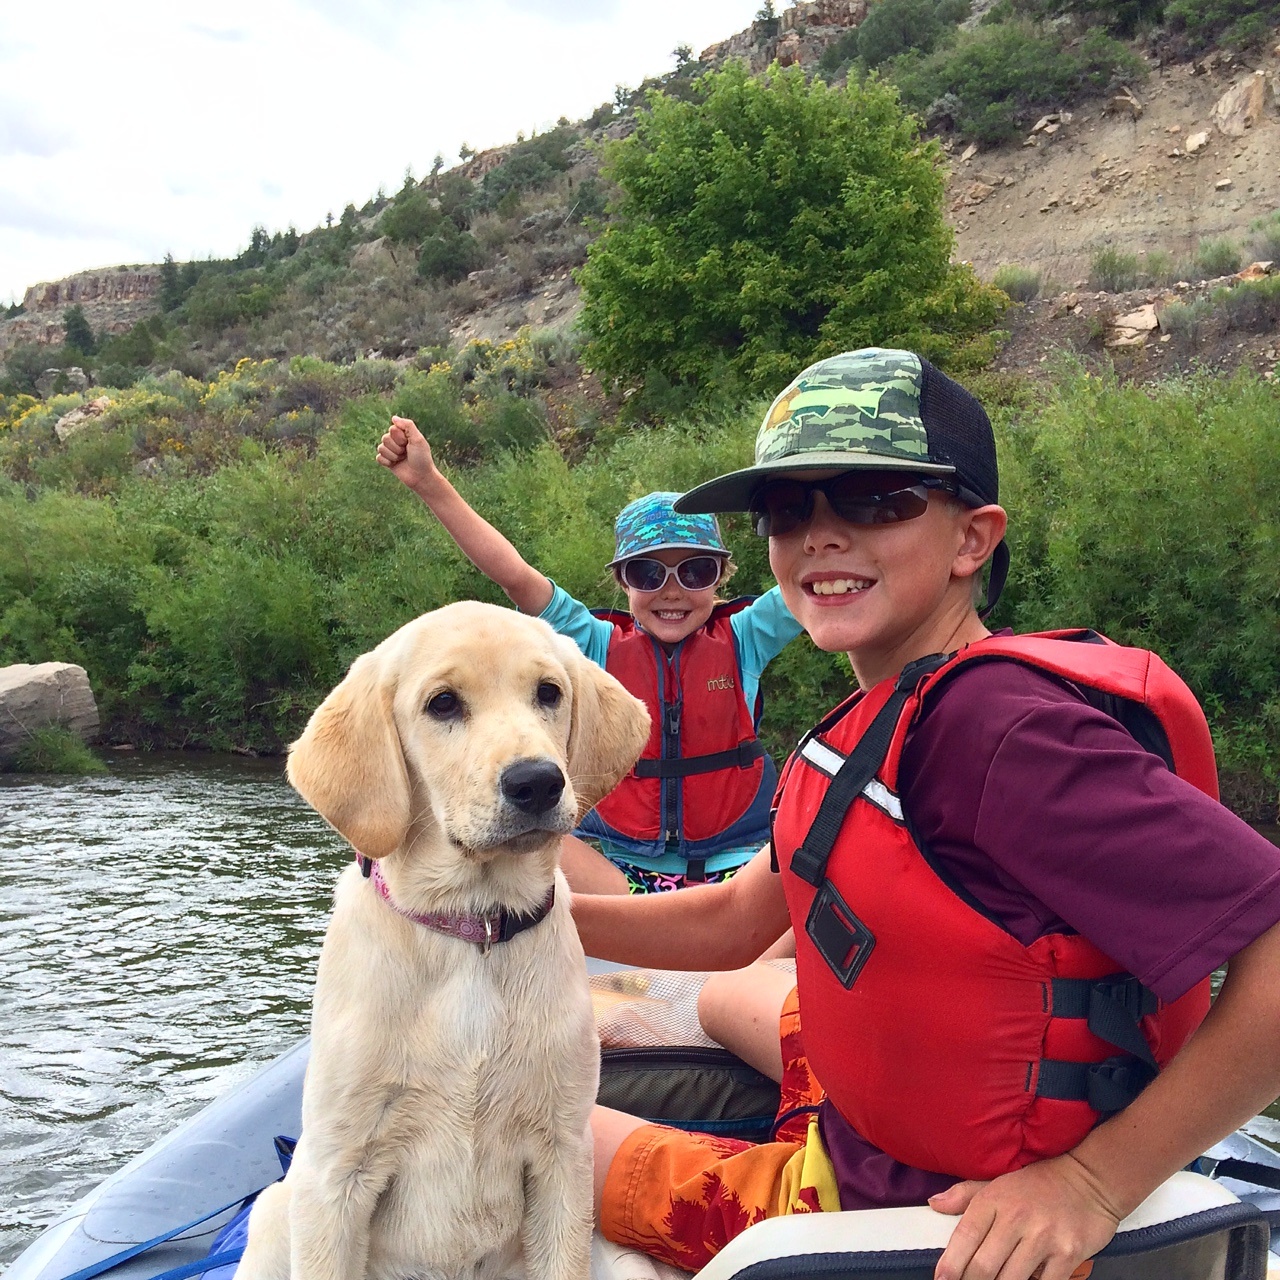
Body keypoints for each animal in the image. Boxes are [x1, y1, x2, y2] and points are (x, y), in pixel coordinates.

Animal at [239, 601, 645, 1280]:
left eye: (549, 692)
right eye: (443, 704)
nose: (537, 782)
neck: (471, 931)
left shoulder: (564, 1152)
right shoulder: (335, 1172)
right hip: (276, 1210)